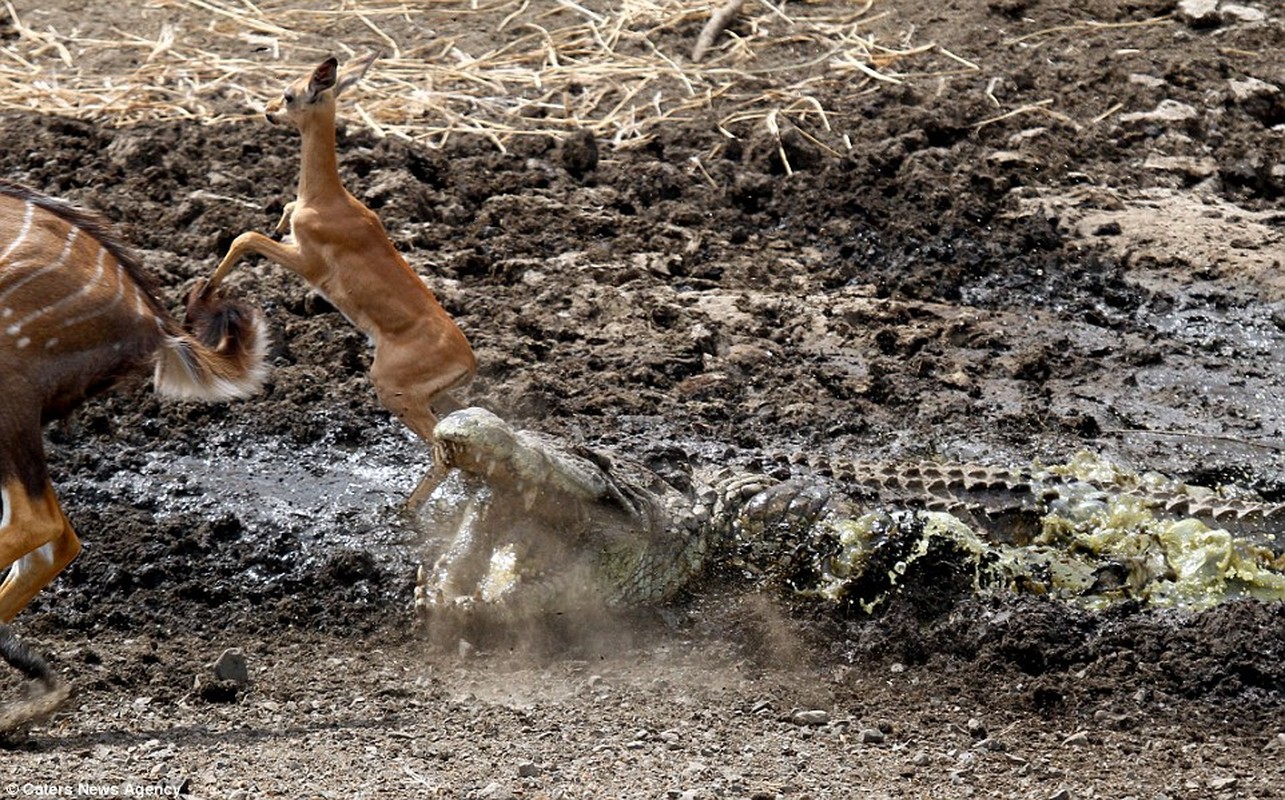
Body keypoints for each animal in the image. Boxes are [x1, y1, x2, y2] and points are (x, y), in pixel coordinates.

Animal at [205, 54, 478, 505]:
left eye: (289, 94)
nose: (268, 110)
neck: (325, 200)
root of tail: (468, 360)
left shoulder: (308, 265)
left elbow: (247, 237)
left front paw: (202, 292)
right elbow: (274, 217)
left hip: (393, 391)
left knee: (441, 454)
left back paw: (405, 512)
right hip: (440, 399)